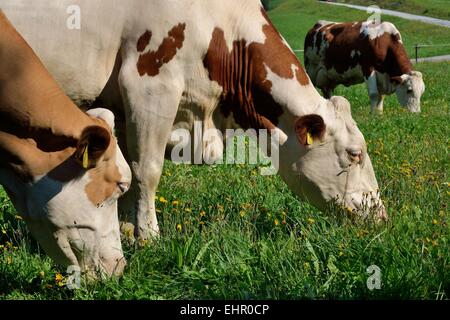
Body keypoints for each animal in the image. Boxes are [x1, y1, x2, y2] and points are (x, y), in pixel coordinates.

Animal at [0, 0, 386, 241]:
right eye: (354, 154)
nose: (380, 215)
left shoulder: (123, 105)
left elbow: (128, 169)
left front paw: (127, 229)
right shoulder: (149, 86)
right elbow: (147, 169)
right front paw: (149, 236)